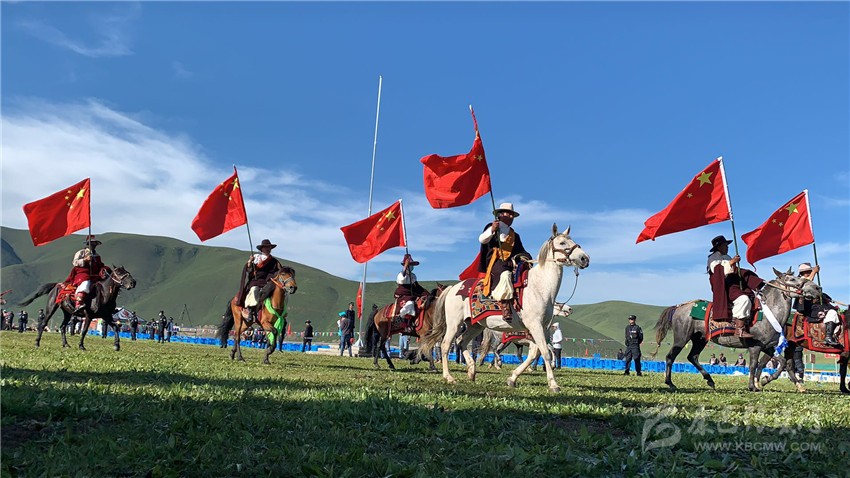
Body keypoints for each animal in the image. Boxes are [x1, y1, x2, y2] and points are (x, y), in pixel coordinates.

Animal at [420, 224, 590, 392]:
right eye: (562, 243)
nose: (584, 258)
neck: (539, 287)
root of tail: (453, 288)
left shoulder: (540, 328)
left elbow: (534, 354)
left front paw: (512, 378)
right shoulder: (535, 326)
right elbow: (545, 353)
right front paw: (553, 384)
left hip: (475, 325)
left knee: (462, 342)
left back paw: (472, 371)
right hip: (454, 323)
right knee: (446, 345)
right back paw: (449, 377)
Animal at [651, 268, 821, 392]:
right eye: (793, 279)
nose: (817, 288)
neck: (770, 313)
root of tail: (680, 306)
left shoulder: (768, 347)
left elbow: (783, 363)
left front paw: (765, 380)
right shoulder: (755, 346)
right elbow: (754, 365)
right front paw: (753, 386)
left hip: (700, 339)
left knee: (692, 357)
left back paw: (710, 380)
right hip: (682, 338)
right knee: (670, 357)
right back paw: (670, 383)